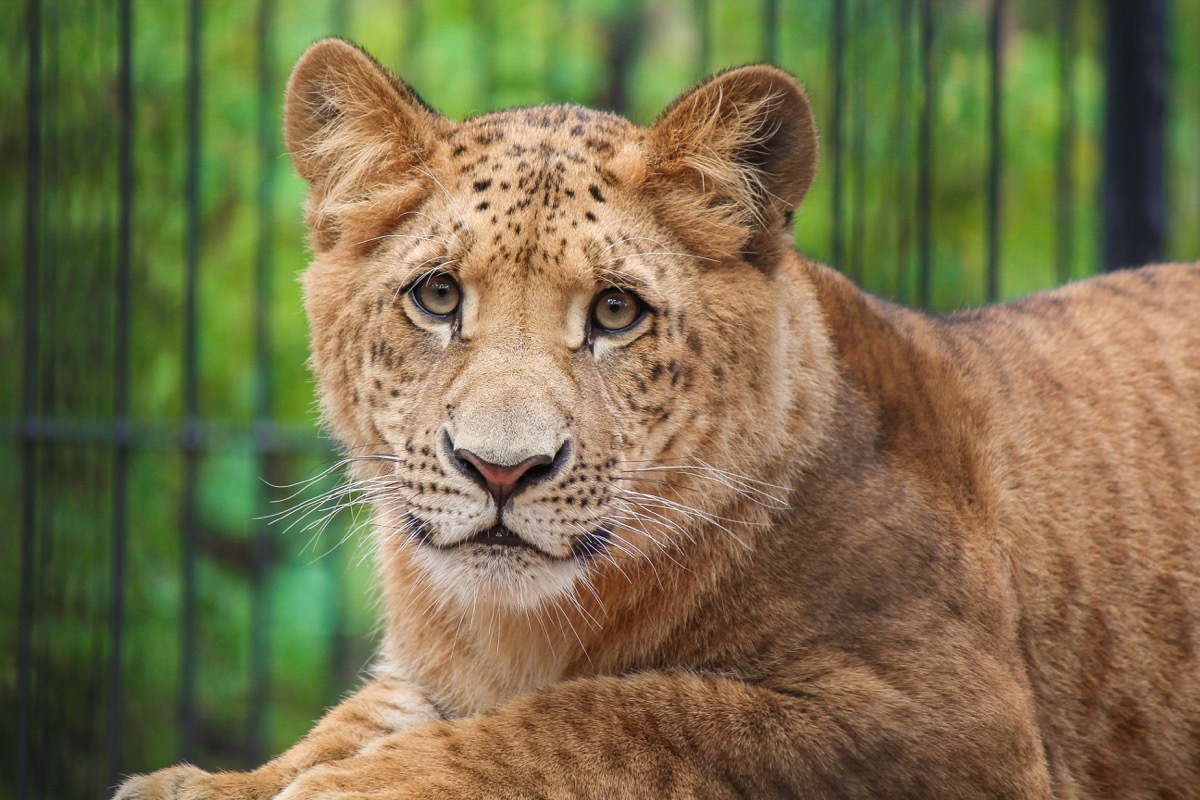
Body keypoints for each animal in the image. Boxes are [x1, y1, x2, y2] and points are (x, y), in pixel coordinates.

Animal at [114, 38, 1199, 799]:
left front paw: (362, 782)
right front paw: (211, 782)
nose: (501, 470)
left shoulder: (950, 722)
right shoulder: (429, 667)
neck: (512, 628)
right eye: (437, 296)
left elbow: (628, 710)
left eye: (614, 312)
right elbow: (352, 719)